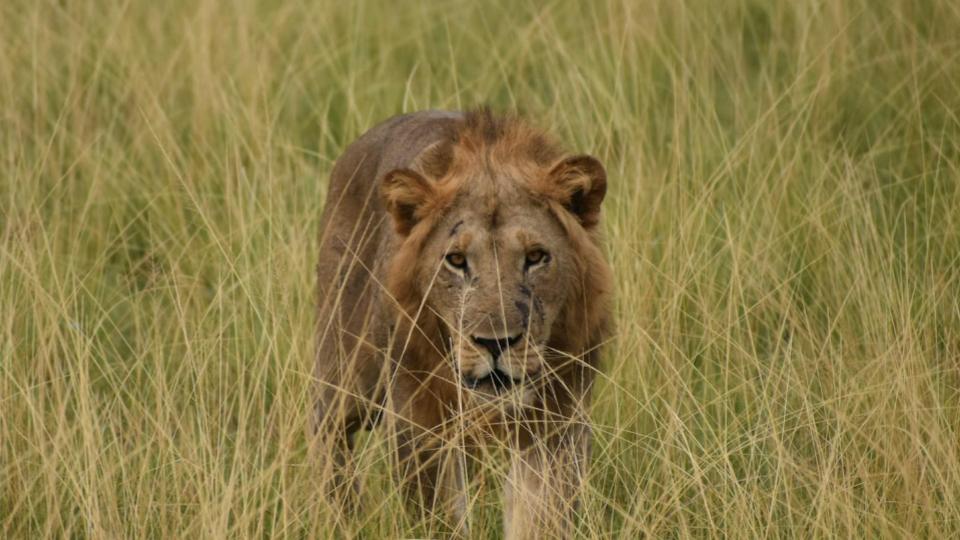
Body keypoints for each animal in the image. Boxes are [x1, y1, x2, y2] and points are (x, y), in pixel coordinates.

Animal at [314, 109, 612, 538]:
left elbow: (539, 515)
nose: (495, 342)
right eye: (456, 260)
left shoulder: (556, 424)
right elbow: (439, 518)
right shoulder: (420, 424)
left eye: (536, 256)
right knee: (327, 434)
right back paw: (341, 518)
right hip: (347, 373)